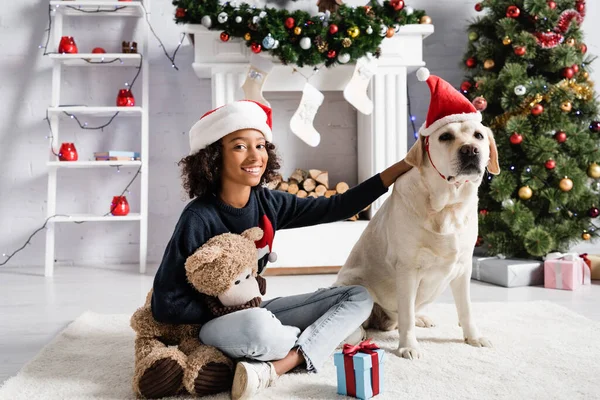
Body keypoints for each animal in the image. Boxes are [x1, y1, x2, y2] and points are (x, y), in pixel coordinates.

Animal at [336, 115, 500, 360]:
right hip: (354, 283)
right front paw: (408, 346)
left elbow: (466, 308)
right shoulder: (407, 269)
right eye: (445, 136)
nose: (470, 150)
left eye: (478, 135)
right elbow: (407, 316)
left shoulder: (464, 267)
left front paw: (474, 337)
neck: (447, 207)